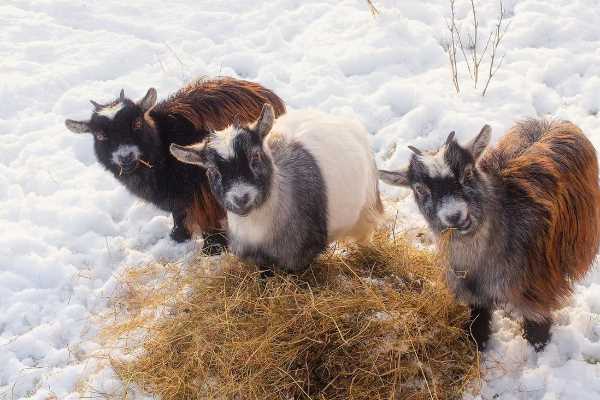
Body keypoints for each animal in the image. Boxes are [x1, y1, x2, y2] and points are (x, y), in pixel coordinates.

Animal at [67, 78, 288, 253]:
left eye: (137, 123)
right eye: (100, 135)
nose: (126, 156)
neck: (162, 151)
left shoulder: (203, 190)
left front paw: (212, 249)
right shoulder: (179, 197)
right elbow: (179, 214)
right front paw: (178, 236)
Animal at [171, 103, 382, 272]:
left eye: (255, 156)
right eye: (213, 171)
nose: (241, 198)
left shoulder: (301, 254)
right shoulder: (257, 257)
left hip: (367, 208)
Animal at [380, 120, 600, 352]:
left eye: (468, 173)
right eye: (420, 189)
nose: (455, 216)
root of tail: (553, 122)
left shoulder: (535, 289)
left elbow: (537, 330)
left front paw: (540, 349)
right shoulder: (474, 294)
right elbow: (478, 324)